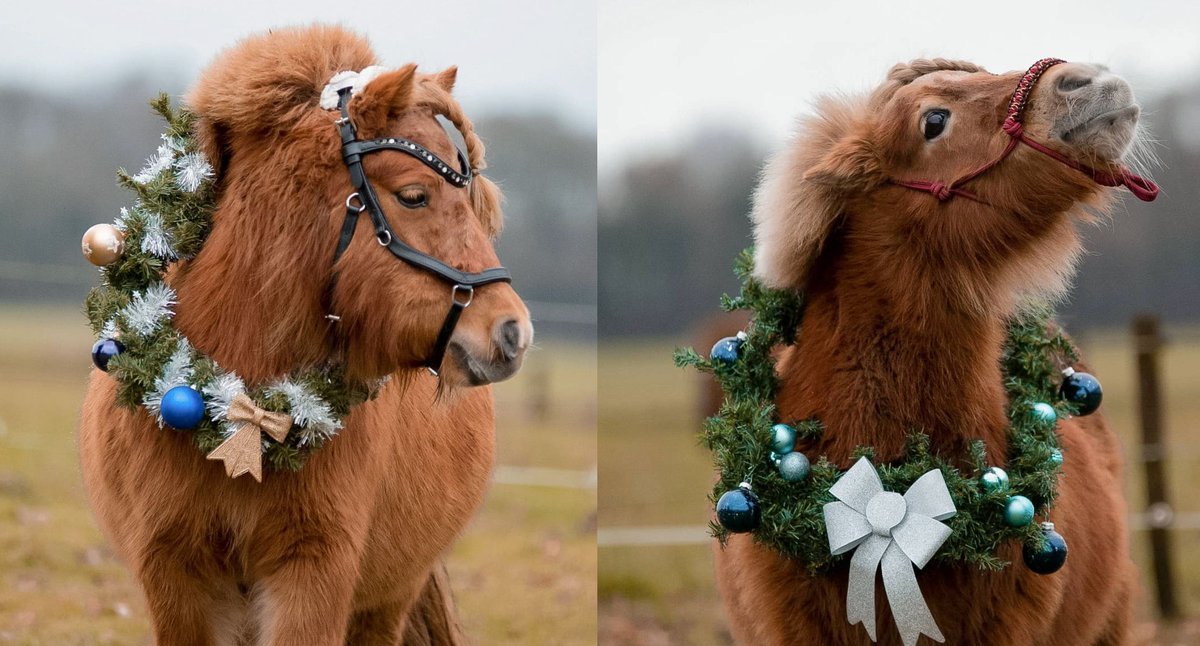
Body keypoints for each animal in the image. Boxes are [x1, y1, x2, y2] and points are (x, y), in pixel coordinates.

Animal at [78, 25, 532, 644]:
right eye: (415, 195)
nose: (513, 332)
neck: (238, 409)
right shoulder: (174, 576)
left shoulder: (314, 573)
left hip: (388, 598)